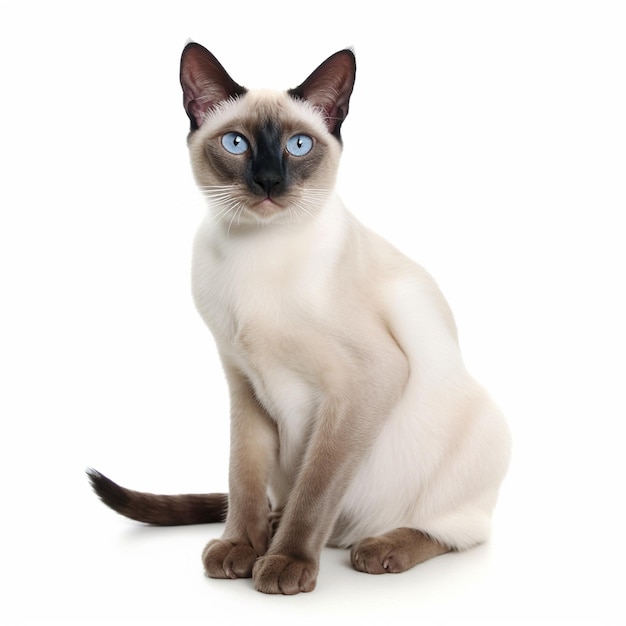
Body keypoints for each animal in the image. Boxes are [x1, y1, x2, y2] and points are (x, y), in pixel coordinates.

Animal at [86, 42, 508, 596]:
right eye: (237, 144)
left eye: (299, 145)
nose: (268, 182)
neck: (254, 255)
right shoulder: (243, 380)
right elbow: (242, 477)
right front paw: (241, 548)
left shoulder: (365, 380)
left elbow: (317, 487)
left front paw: (286, 563)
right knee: (281, 503)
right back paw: (270, 526)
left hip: (485, 429)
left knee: (454, 532)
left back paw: (380, 549)